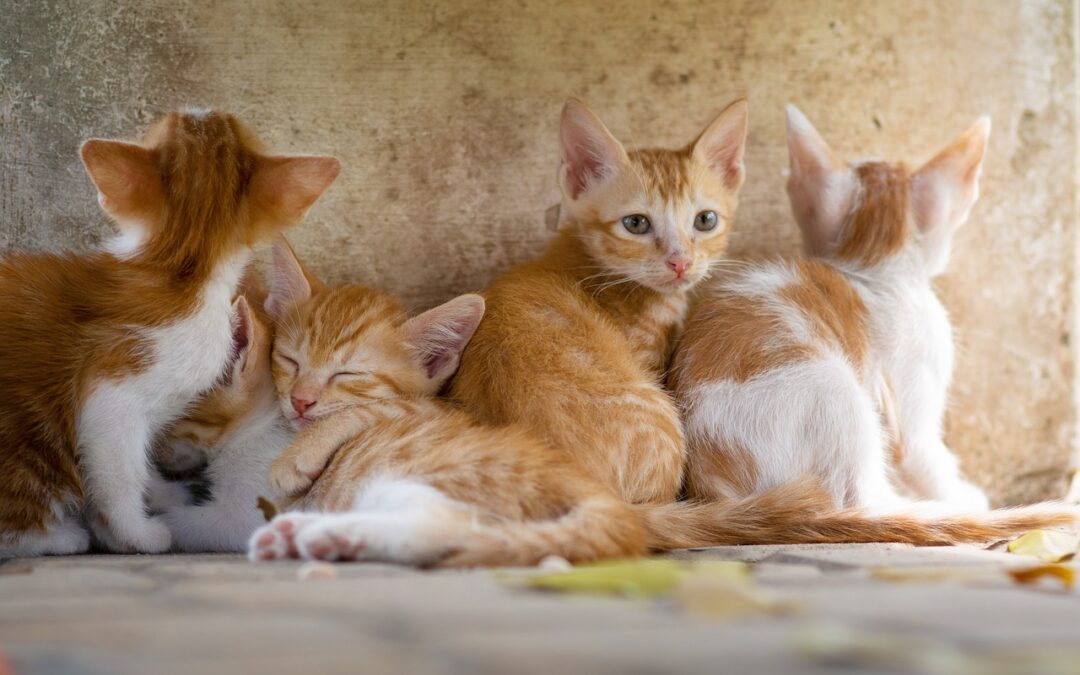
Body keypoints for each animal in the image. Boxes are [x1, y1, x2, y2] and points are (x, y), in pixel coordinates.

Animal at [0, 109, 339, 552]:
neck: (183, 270)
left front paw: (158, 496)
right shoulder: (113, 389)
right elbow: (120, 472)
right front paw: (137, 532)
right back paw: (61, 536)